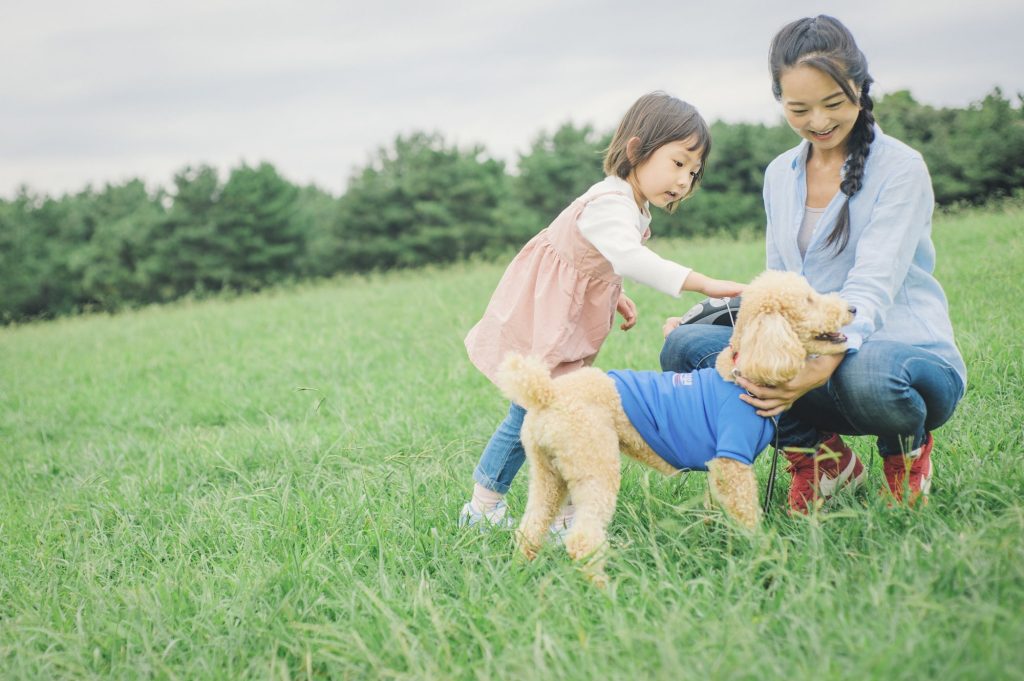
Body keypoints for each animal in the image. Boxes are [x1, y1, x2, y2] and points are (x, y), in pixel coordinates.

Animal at [495, 268, 856, 581]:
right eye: (809, 300)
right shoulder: (733, 461)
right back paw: (603, 588)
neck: (740, 373)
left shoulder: (717, 470)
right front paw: (761, 553)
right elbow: (747, 514)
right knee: (583, 539)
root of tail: (546, 393)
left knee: (531, 528)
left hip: (549, 474)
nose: (852, 307)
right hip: (595, 464)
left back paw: (519, 572)